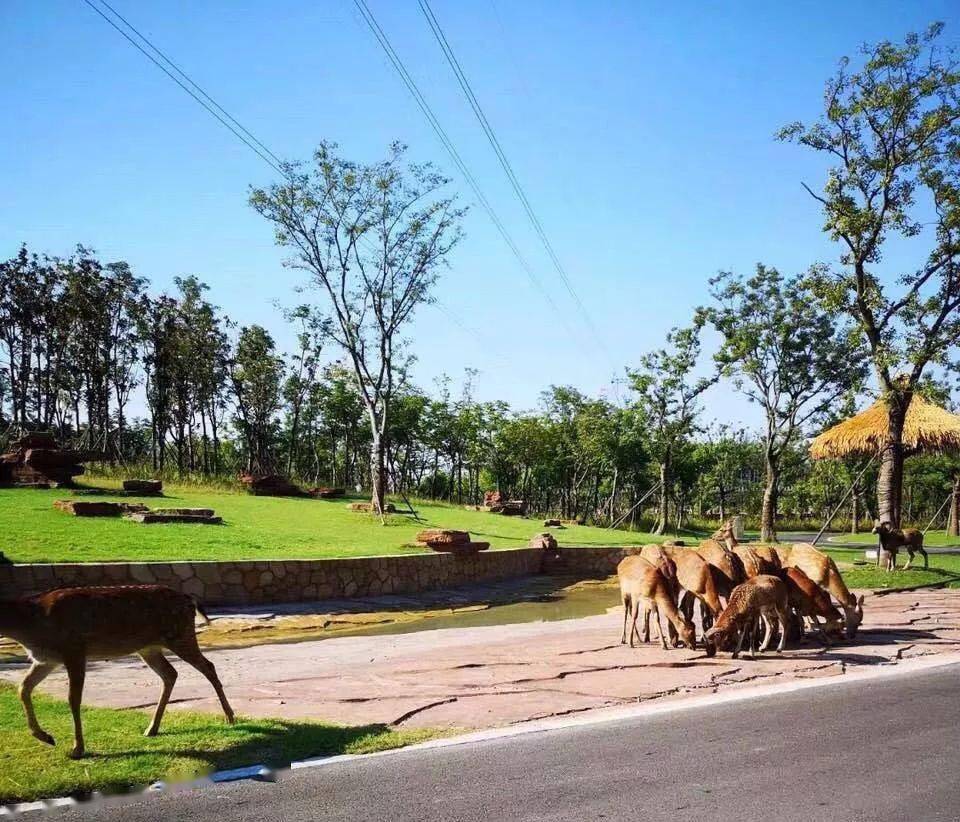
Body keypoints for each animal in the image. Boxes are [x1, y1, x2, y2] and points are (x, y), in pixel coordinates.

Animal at [0, 584, 235, 760]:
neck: (32, 624)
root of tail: (190, 599)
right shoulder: (46, 660)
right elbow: (23, 688)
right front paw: (46, 737)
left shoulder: (74, 650)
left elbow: (73, 699)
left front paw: (77, 749)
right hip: (149, 647)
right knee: (170, 673)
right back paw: (152, 728)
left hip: (180, 635)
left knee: (208, 666)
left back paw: (229, 716)